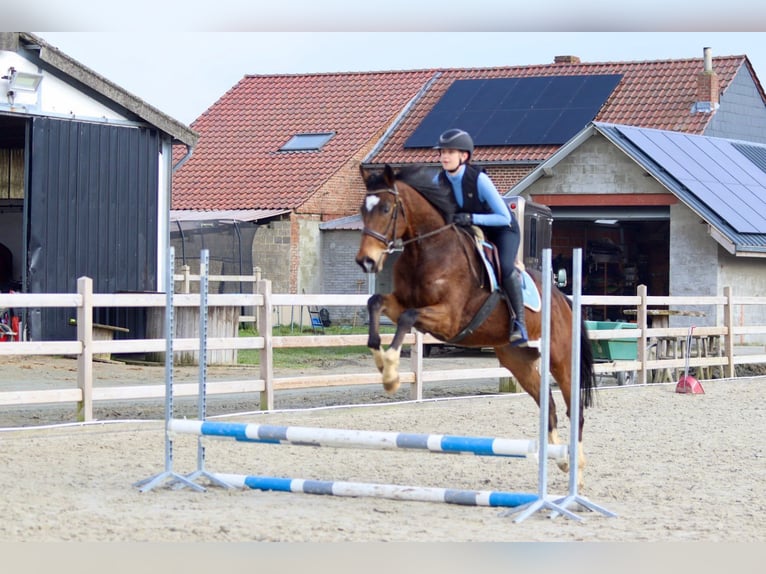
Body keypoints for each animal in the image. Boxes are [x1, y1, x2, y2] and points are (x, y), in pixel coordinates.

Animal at [356, 164, 596, 488]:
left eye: (385, 208)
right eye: (362, 209)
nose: (366, 261)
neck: (427, 249)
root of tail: (563, 299)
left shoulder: (448, 318)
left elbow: (407, 319)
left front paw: (391, 372)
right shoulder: (400, 303)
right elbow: (375, 302)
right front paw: (382, 362)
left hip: (560, 359)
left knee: (575, 410)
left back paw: (577, 471)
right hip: (518, 361)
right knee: (549, 407)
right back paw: (560, 460)